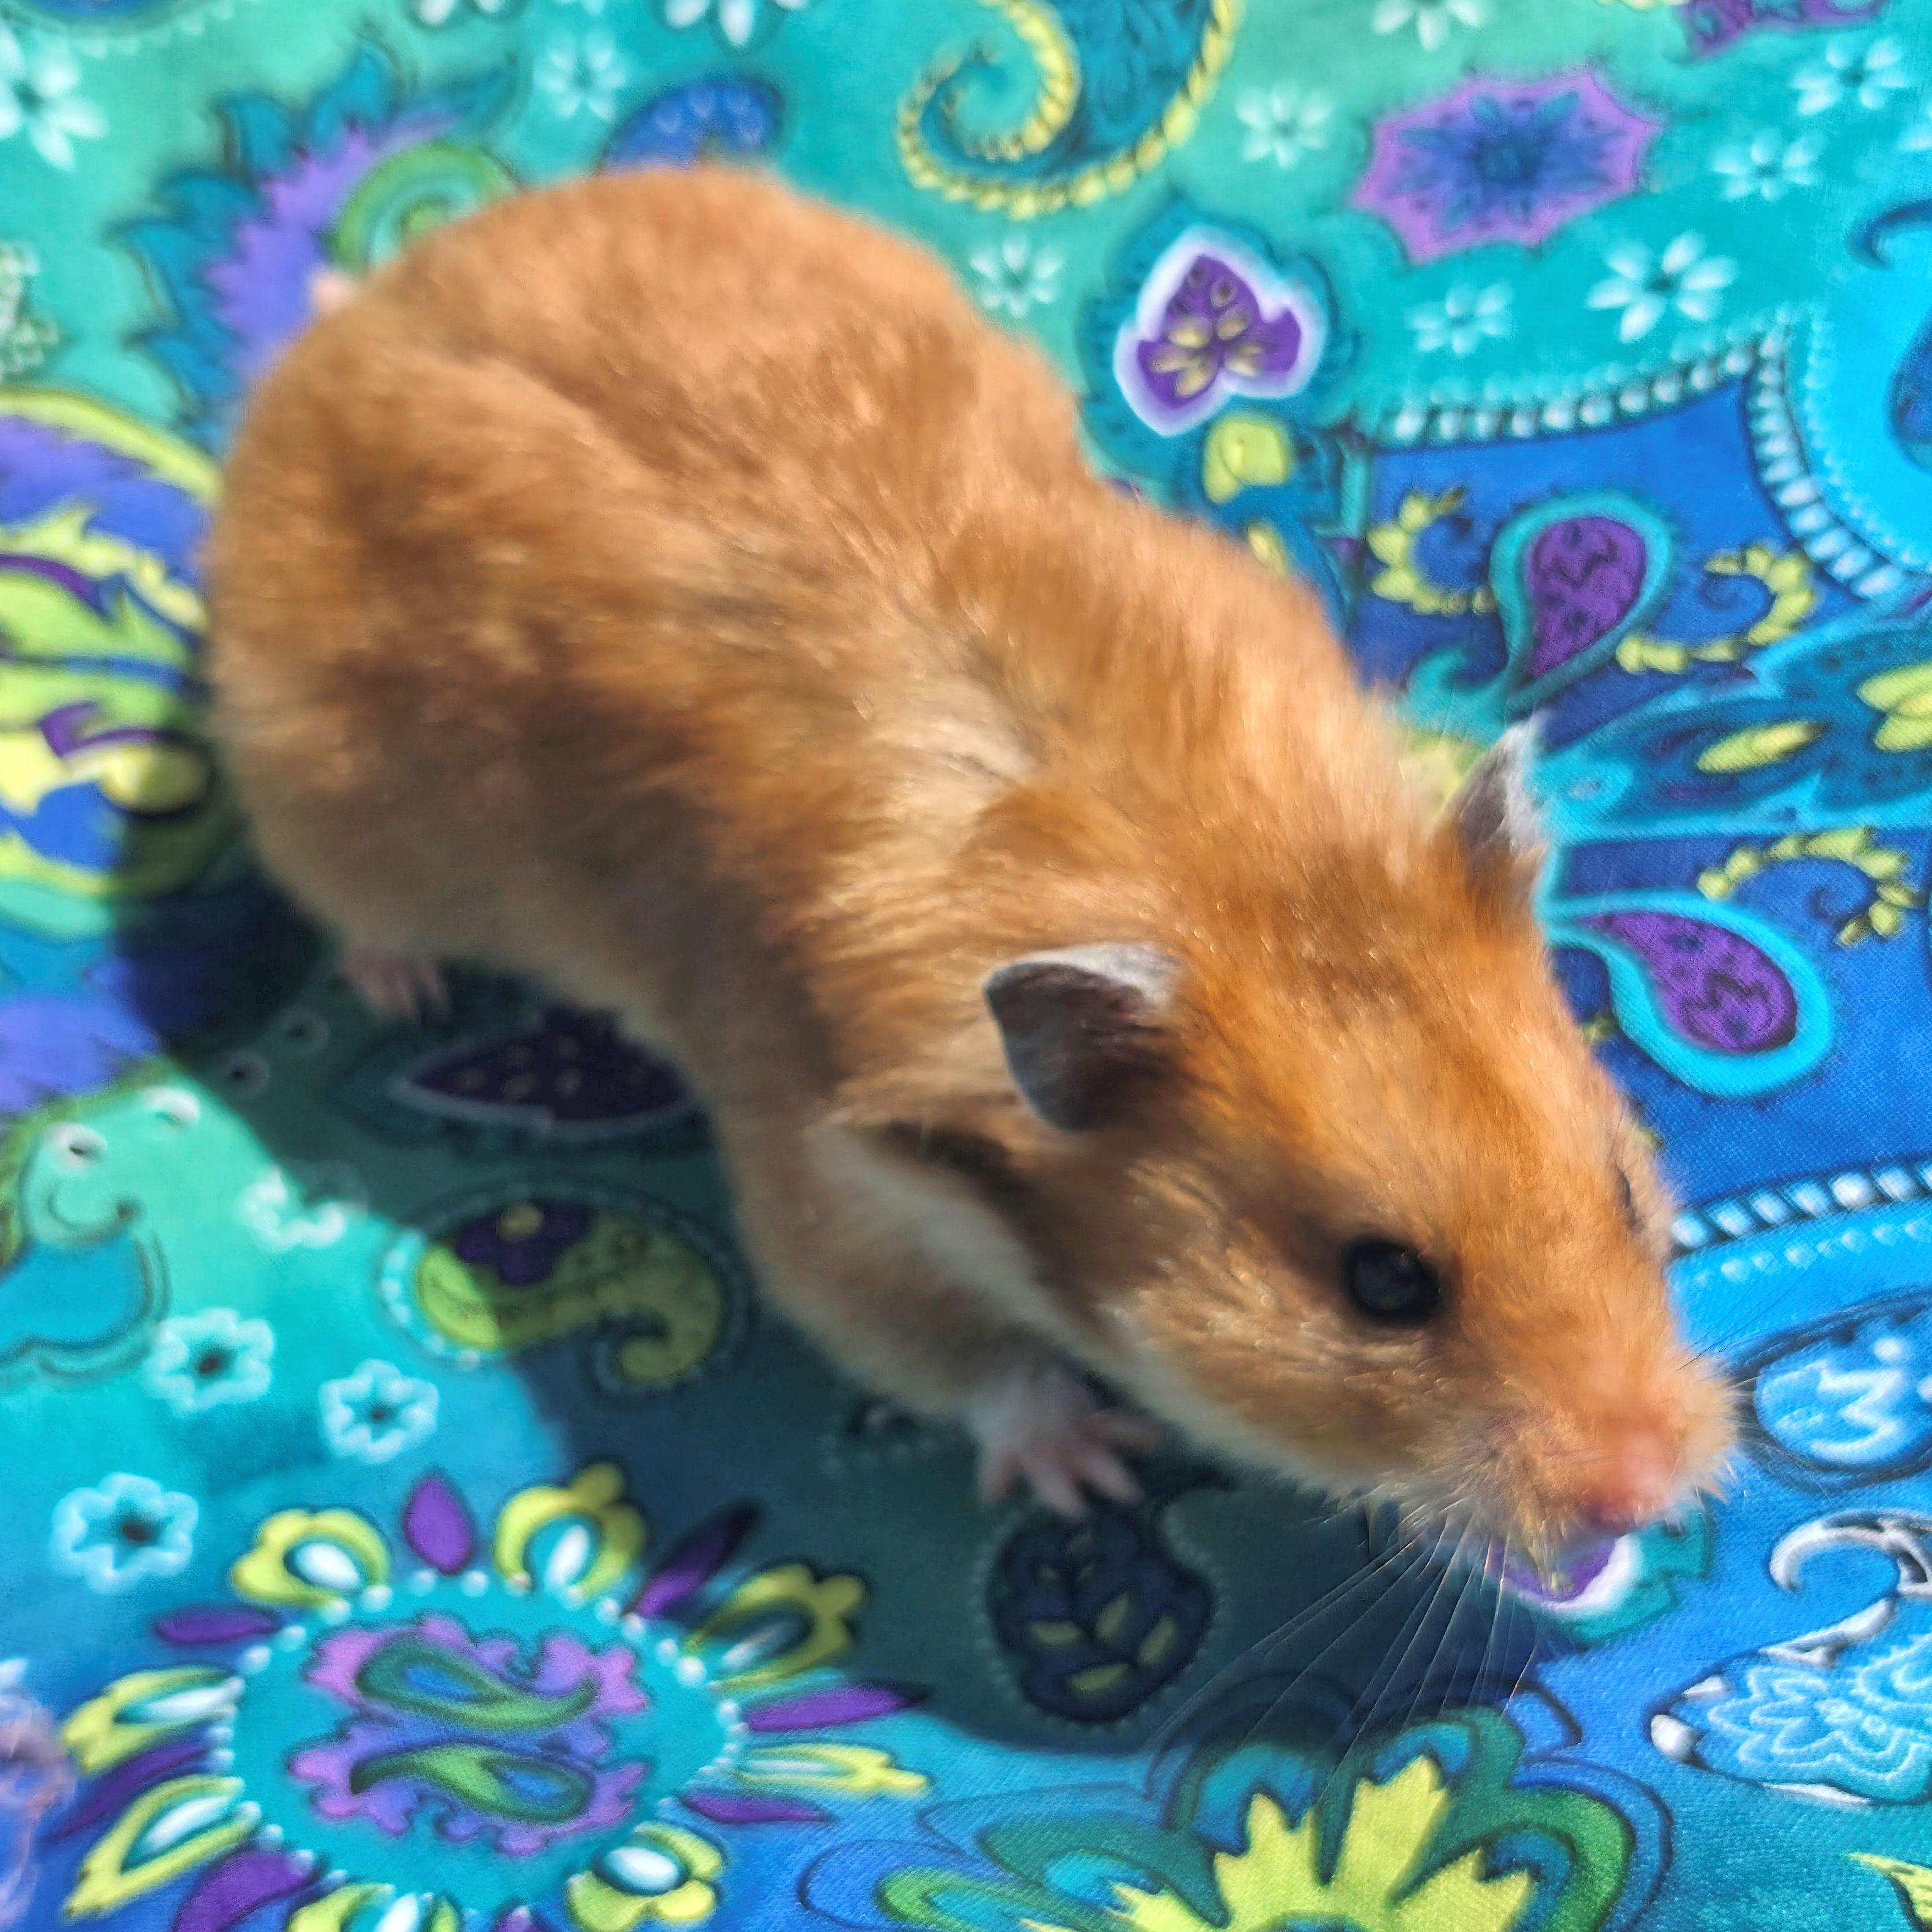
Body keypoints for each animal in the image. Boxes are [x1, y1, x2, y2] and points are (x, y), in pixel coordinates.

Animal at [206, 168, 1734, 1553]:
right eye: (1382, 1282)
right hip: (333, 799)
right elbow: (959, 1360)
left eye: (1618, 1186)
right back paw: (407, 988)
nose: (1652, 1493)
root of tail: (352, 328)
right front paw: (1091, 1469)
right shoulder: (823, 1199)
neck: (1213, 876)